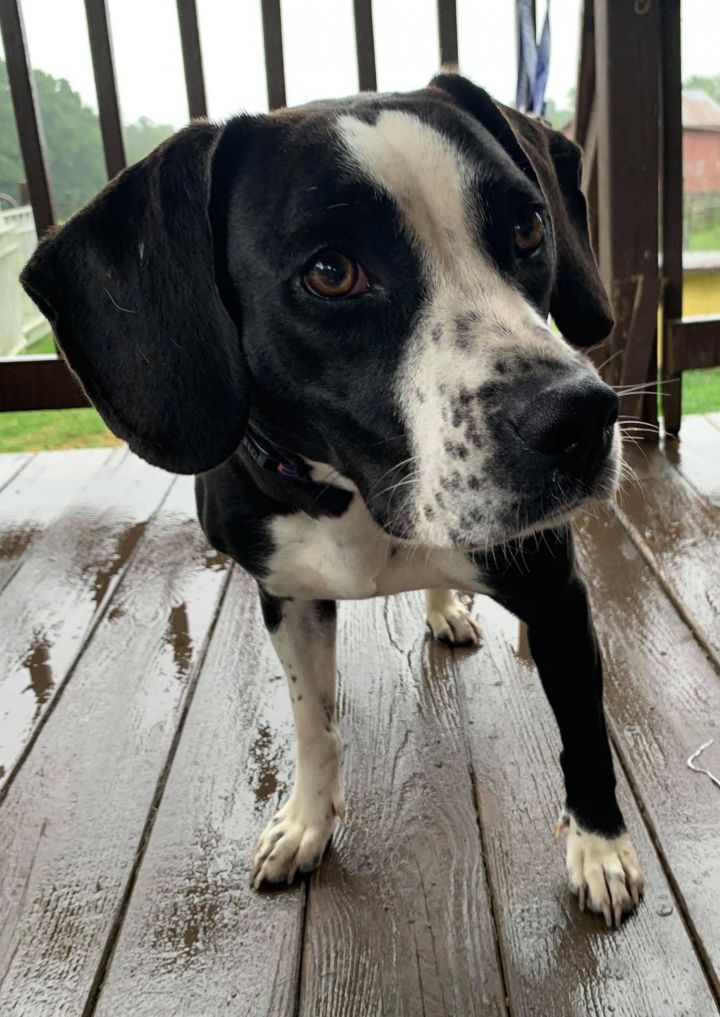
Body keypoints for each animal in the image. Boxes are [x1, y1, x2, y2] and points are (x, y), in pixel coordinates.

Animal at [21, 71, 642, 931]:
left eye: (528, 228)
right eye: (330, 273)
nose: (580, 417)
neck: (357, 498)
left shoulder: (554, 591)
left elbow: (583, 729)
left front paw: (601, 848)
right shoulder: (286, 594)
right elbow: (312, 721)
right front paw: (307, 822)